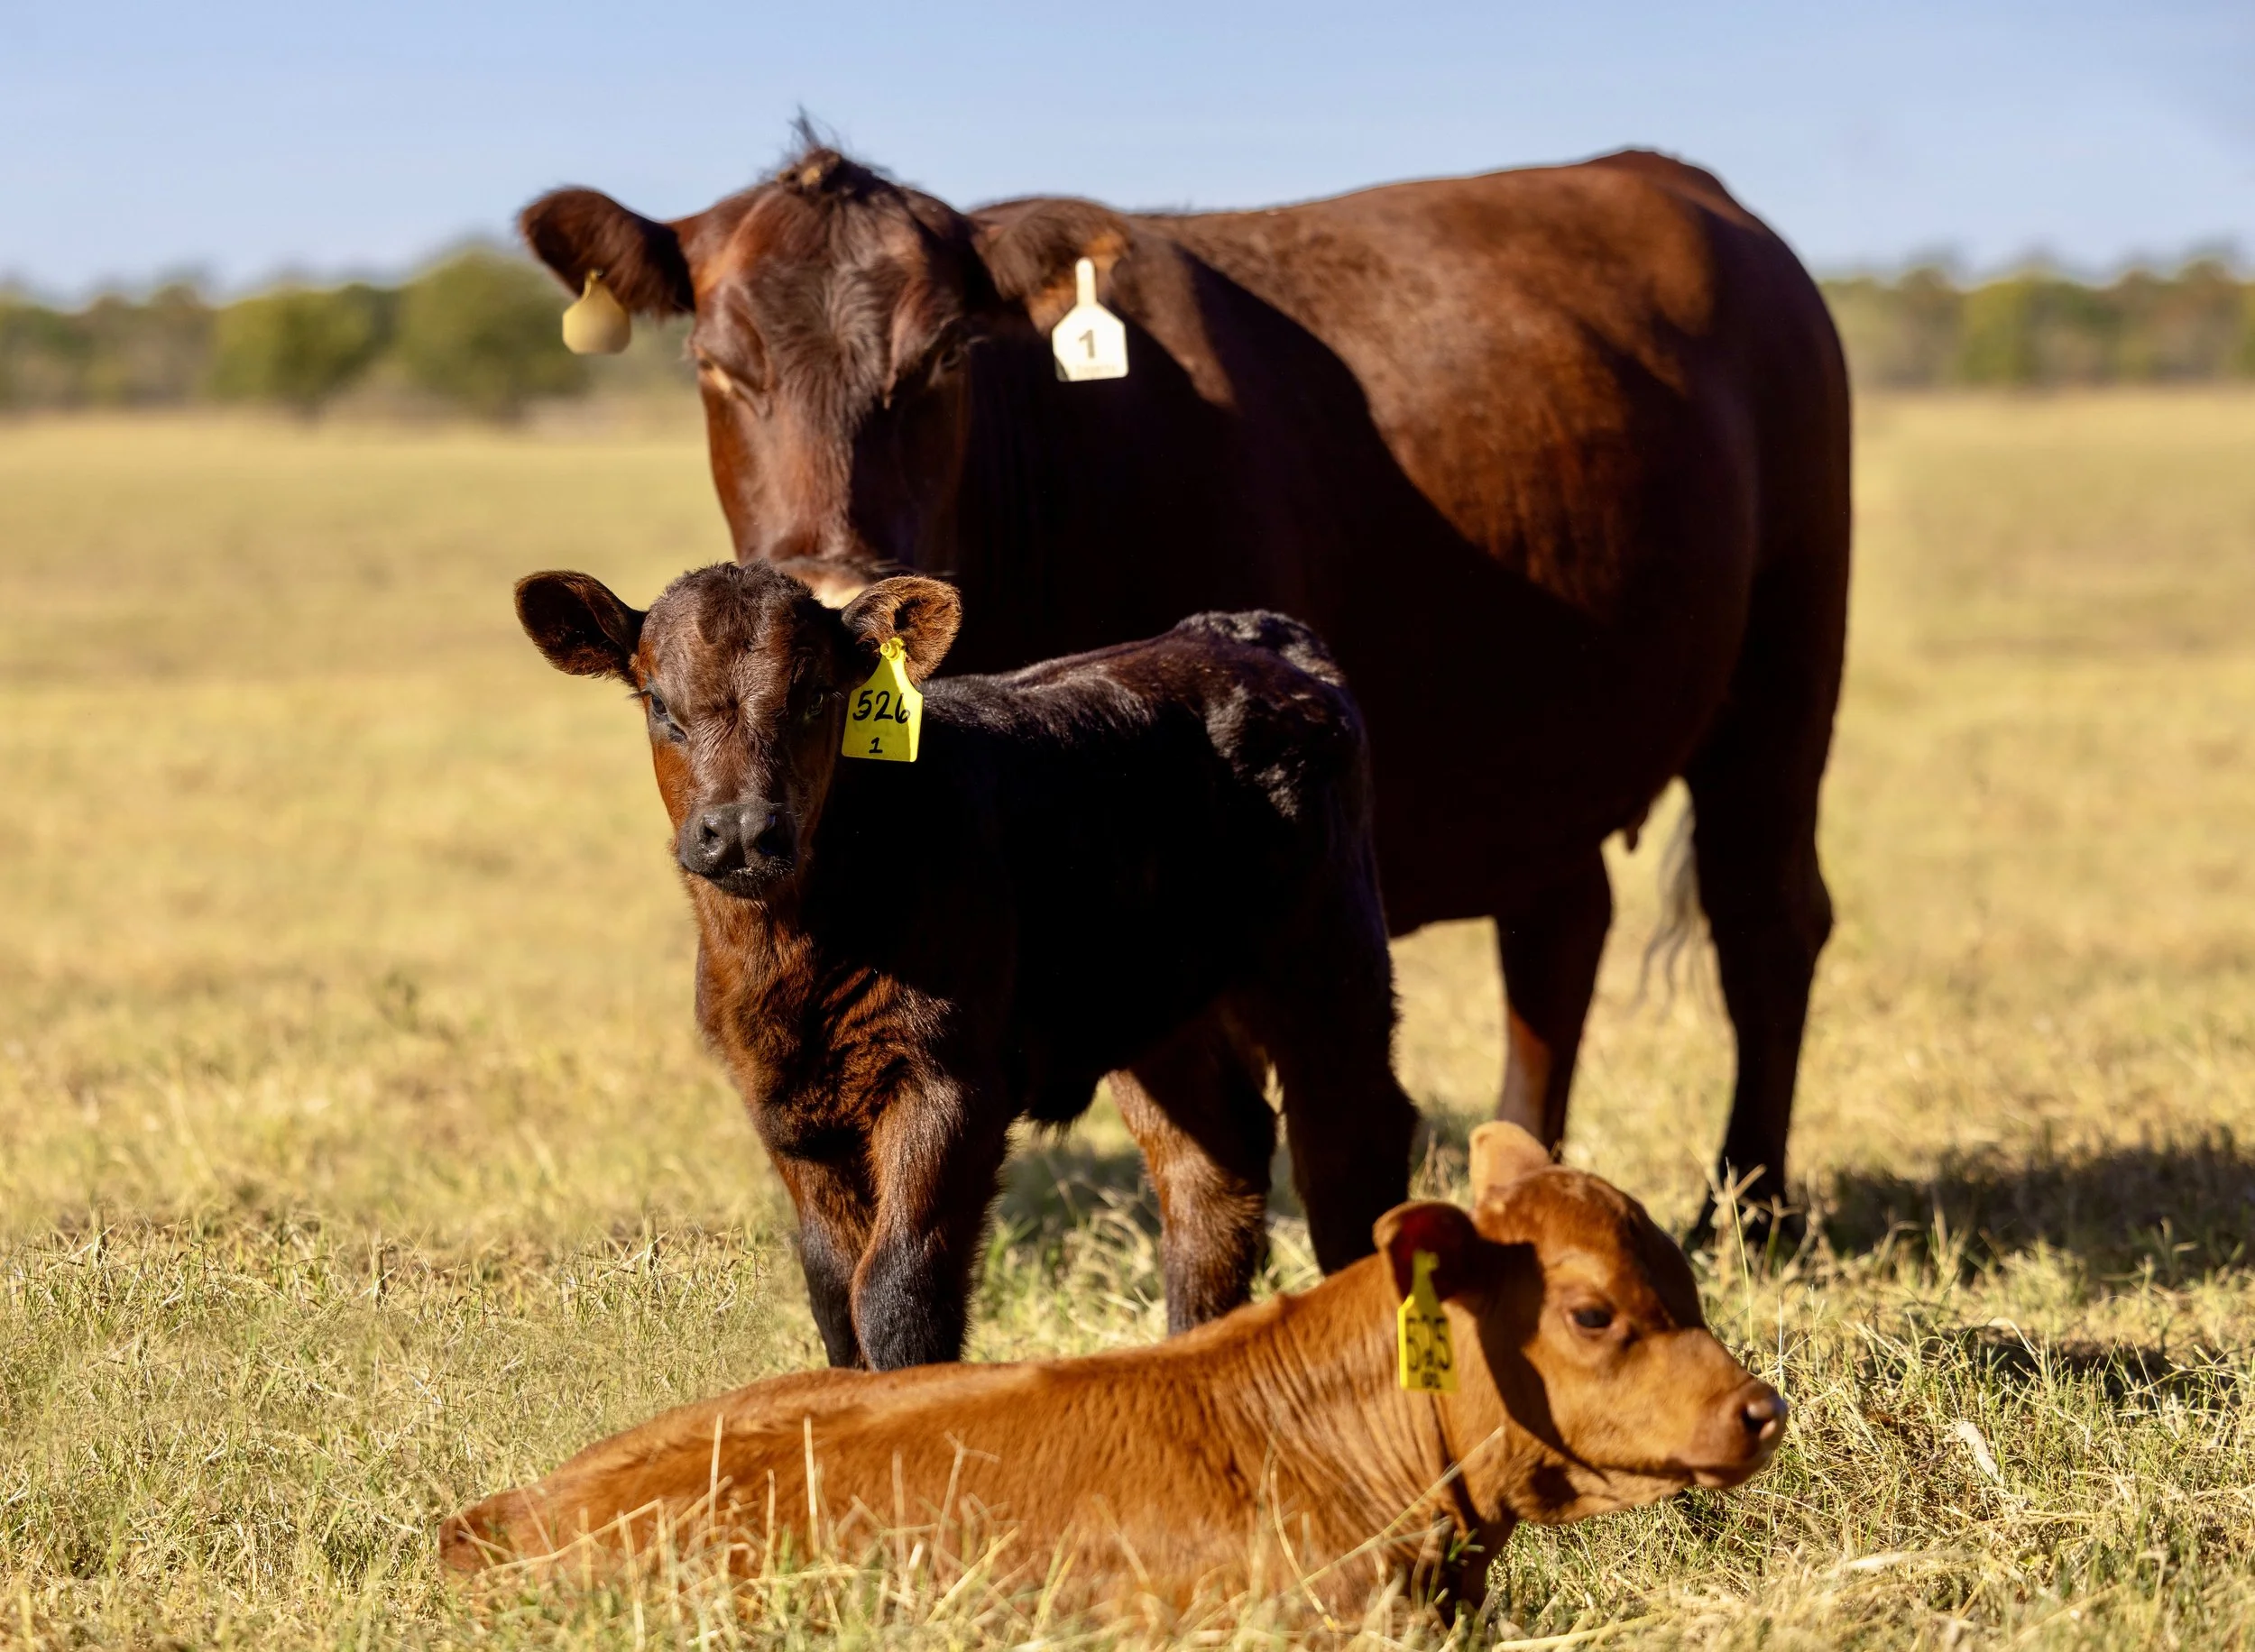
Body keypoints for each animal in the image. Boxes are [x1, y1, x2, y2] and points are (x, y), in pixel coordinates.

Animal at [514, 559, 1417, 1369]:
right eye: (660, 704)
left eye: (816, 696)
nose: (739, 831)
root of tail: (1247, 635)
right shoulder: (783, 1105)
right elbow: (833, 1290)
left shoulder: (950, 1081)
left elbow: (897, 1288)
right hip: (1157, 1012)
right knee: (1213, 1173)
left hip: (1326, 959)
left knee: (1349, 1150)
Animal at [517, 141, 1851, 1234]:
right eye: (714, 364)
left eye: (943, 358)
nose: (834, 580)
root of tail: (1680, 182)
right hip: (1542, 750)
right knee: (1558, 928)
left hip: (1786, 670)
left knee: (1766, 918)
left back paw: (1751, 1210)